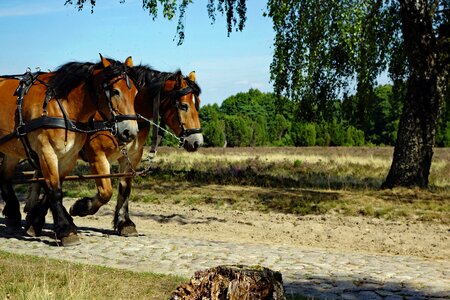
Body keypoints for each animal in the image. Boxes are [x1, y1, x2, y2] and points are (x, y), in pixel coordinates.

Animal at [0, 54, 138, 246]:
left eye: (136, 93)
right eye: (115, 91)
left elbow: (54, 187)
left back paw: (13, 213)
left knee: (5, 177)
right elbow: (54, 190)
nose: (130, 132)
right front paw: (66, 229)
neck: (64, 107)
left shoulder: (68, 157)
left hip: (11, 150)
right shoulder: (47, 152)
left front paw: (38, 222)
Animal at [25, 65, 204, 237]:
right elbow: (106, 192)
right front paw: (81, 207)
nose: (197, 141)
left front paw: (125, 223)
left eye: (197, 105)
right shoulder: (97, 156)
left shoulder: (131, 157)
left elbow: (125, 189)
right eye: (184, 106)